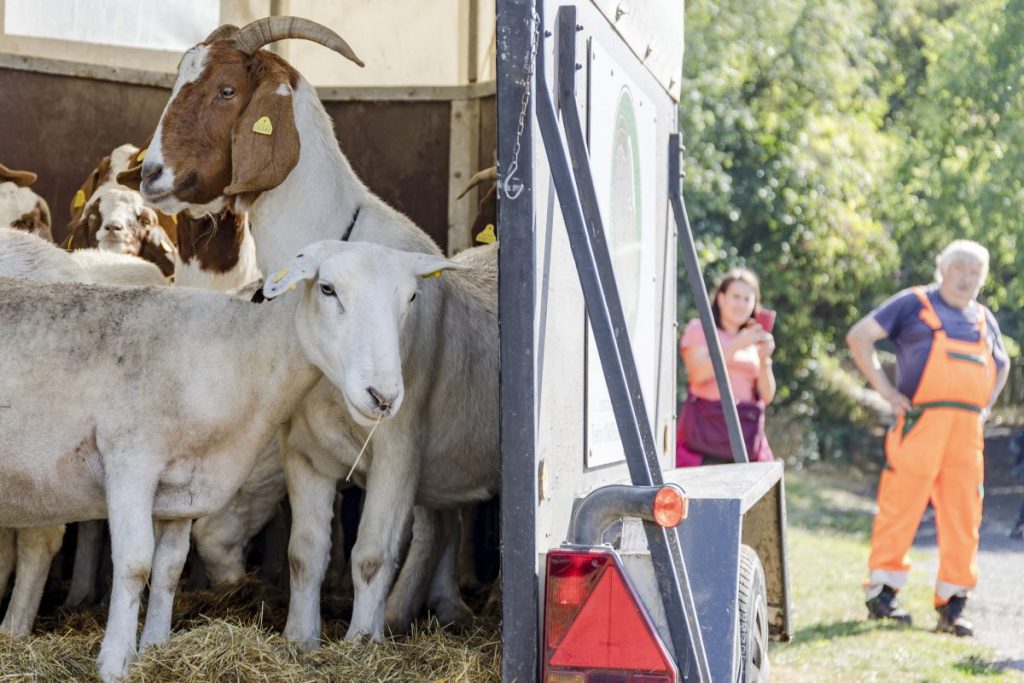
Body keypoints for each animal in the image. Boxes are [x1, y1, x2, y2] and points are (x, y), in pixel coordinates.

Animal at [0, 237, 460, 679]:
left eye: (411, 298)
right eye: (327, 289)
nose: (383, 398)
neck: (236, 351)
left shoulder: (183, 486)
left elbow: (169, 569)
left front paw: (156, 650)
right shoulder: (130, 460)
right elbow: (135, 565)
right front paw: (115, 664)